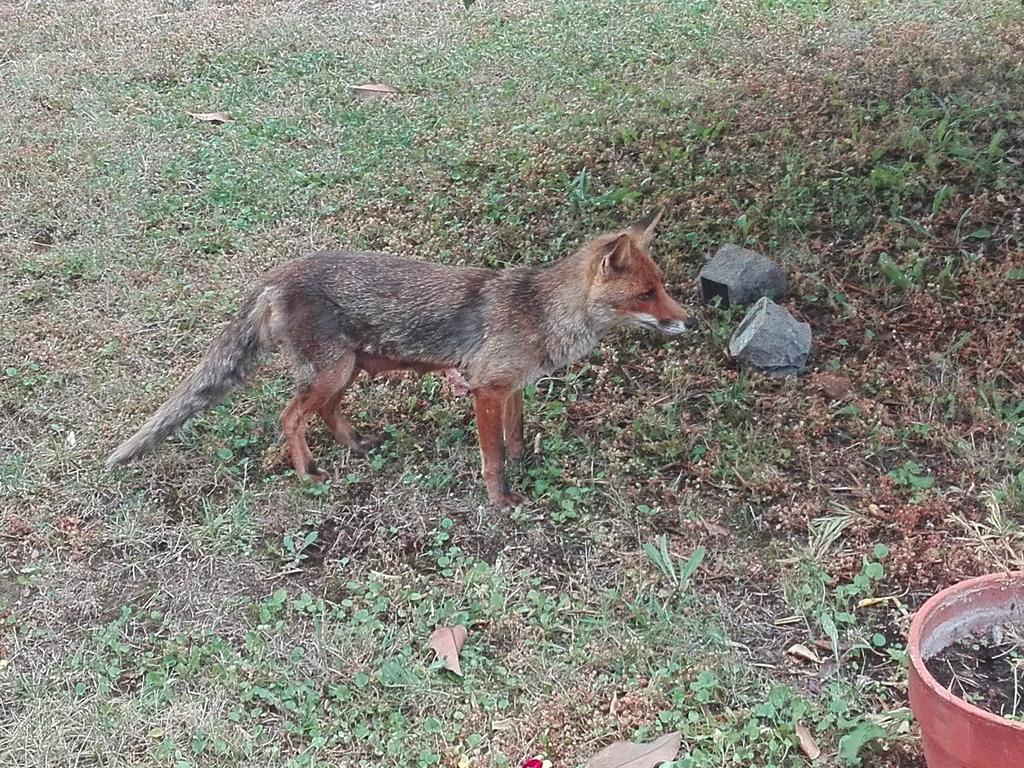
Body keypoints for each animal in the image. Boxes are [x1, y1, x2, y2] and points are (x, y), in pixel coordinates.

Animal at [105, 210, 696, 512]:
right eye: (646, 295)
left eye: (662, 287)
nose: (690, 321)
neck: (539, 311)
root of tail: (276, 276)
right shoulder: (485, 388)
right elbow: (493, 458)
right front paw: (501, 500)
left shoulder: (511, 387)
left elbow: (516, 438)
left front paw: (524, 466)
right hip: (331, 372)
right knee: (290, 417)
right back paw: (308, 474)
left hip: (343, 372)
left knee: (323, 413)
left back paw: (356, 446)